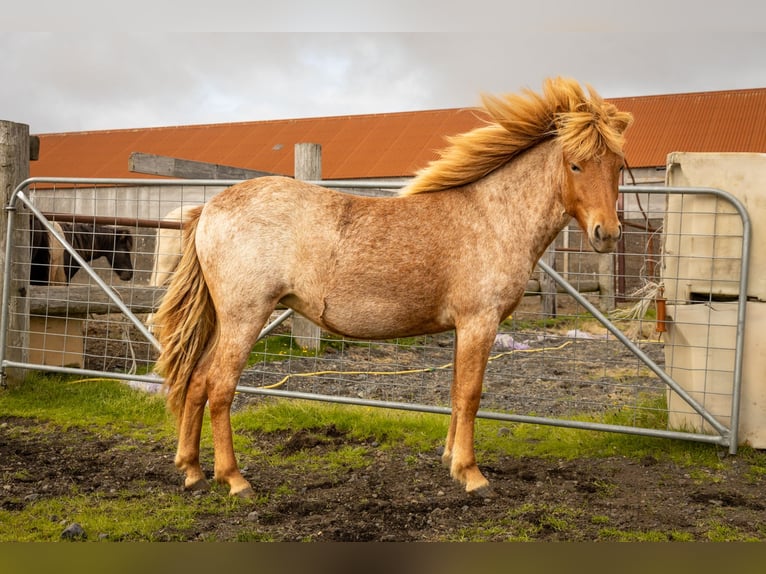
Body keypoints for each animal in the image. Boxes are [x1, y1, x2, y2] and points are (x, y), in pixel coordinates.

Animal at [153, 77, 632, 498]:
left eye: (617, 165)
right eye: (575, 163)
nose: (607, 233)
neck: (491, 215)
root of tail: (209, 208)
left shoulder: (462, 328)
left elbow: (456, 392)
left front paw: (451, 462)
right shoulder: (480, 322)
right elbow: (471, 395)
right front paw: (472, 475)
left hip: (225, 321)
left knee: (196, 382)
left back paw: (193, 471)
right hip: (246, 318)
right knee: (219, 388)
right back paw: (234, 479)